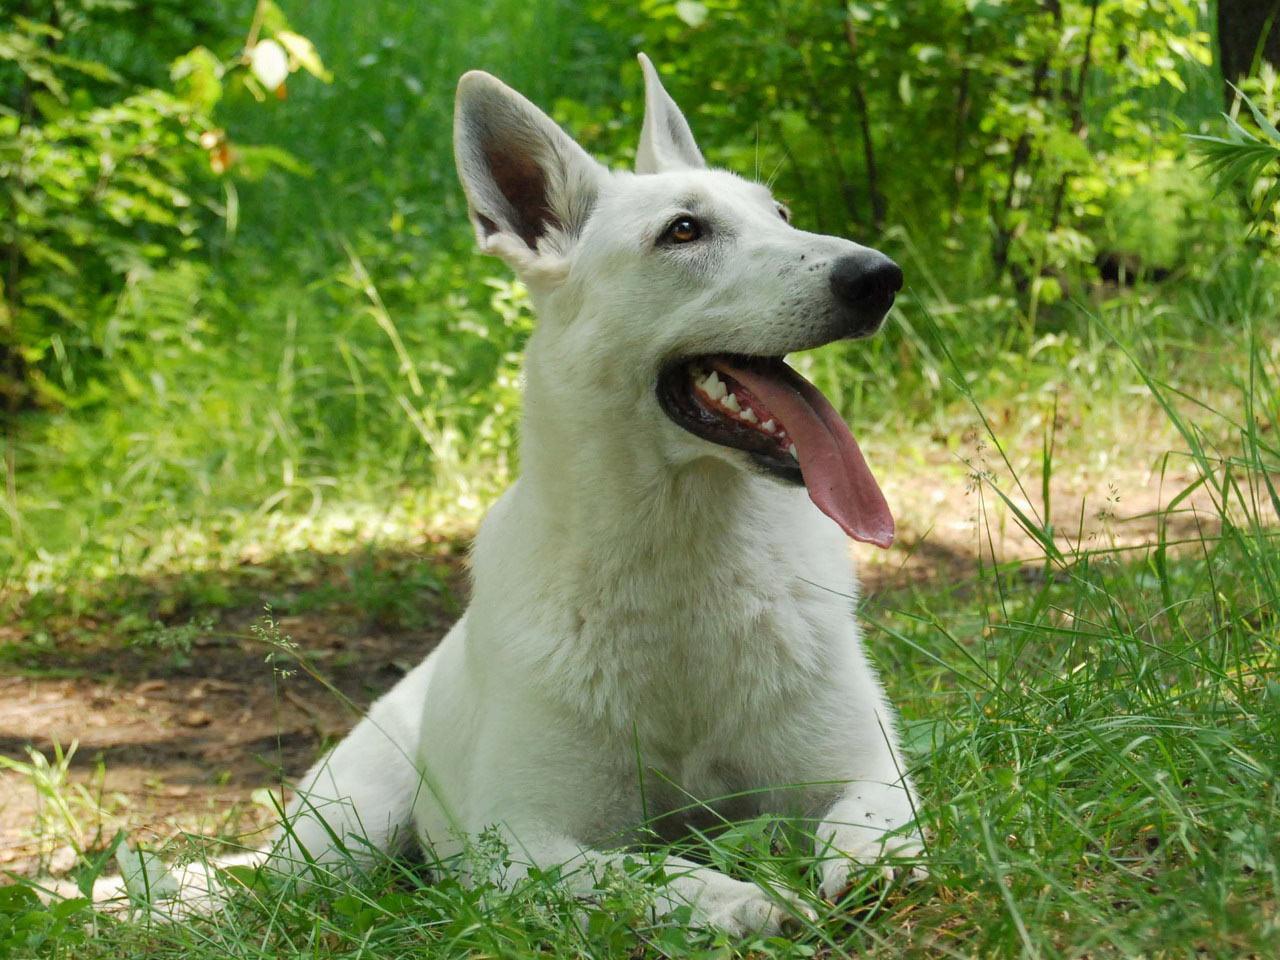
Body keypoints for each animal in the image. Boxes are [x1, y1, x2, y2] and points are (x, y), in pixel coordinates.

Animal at [277, 54, 921, 942]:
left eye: (782, 214)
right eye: (683, 232)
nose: (881, 277)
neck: (685, 561)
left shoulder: (868, 771)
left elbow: (869, 829)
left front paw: (853, 871)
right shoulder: (522, 846)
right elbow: (656, 873)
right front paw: (744, 898)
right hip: (341, 837)